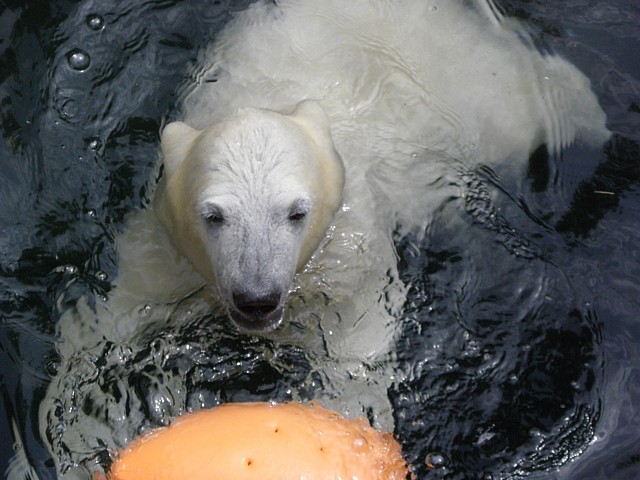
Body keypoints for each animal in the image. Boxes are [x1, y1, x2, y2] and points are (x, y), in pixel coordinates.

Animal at [39, 0, 610, 477]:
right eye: (214, 215)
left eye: (296, 212)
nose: (256, 298)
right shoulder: (166, 254)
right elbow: (104, 332)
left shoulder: (347, 254)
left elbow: (358, 344)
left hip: (477, 91)